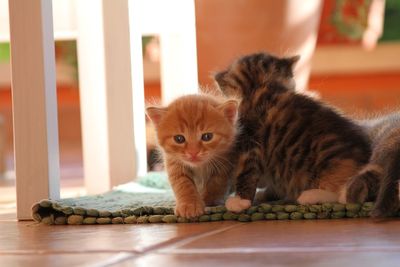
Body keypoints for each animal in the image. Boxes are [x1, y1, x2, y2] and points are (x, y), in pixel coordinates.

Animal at [214, 52, 370, 213]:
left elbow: (246, 172)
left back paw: (309, 195)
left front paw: (240, 201)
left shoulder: (250, 142)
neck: (256, 89)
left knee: (342, 196)